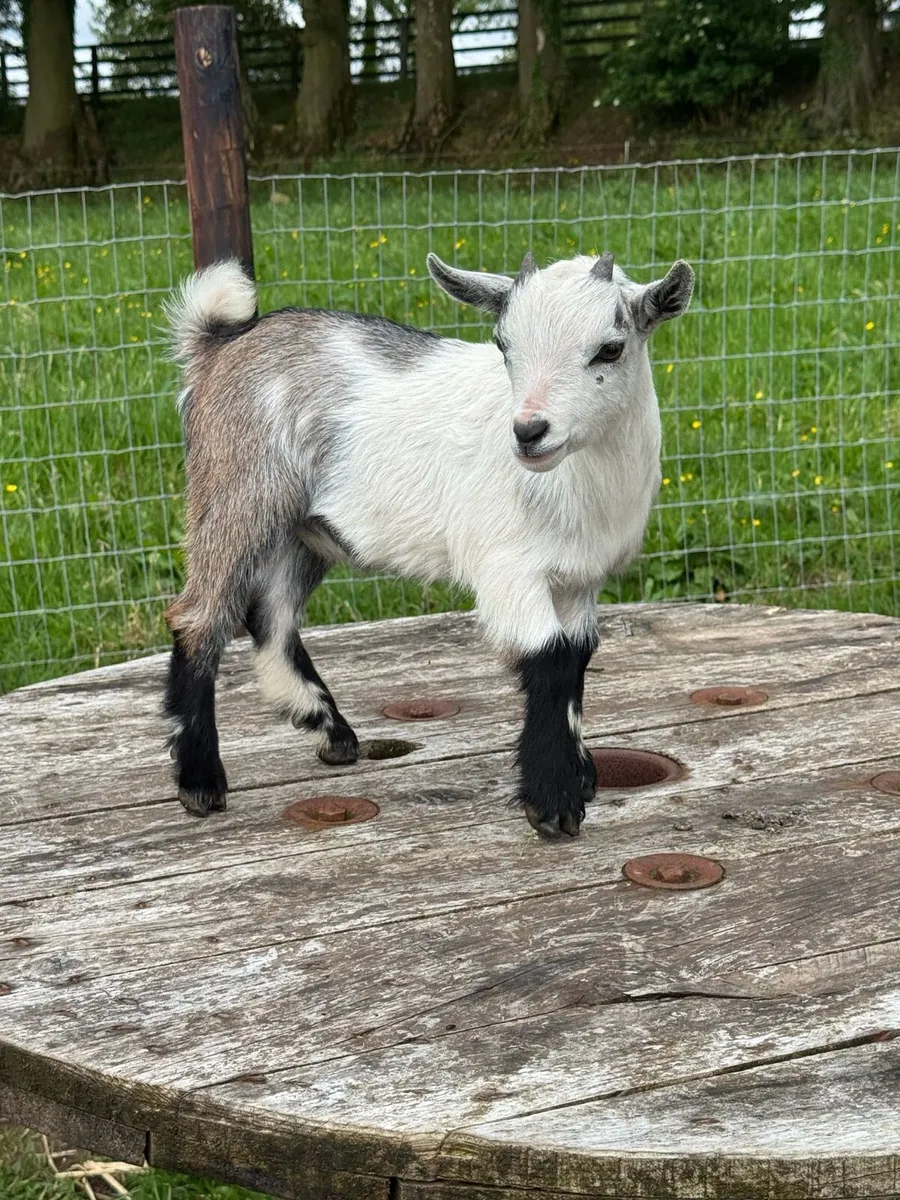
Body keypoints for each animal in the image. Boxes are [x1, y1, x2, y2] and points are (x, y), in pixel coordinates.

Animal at [163, 250, 694, 838]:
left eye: (610, 348)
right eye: (503, 344)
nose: (529, 432)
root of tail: (219, 345)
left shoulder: (579, 579)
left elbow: (576, 658)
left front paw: (579, 776)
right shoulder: (509, 568)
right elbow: (549, 658)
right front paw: (553, 803)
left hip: (301, 529)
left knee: (272, 617)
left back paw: (328, 729)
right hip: (237, 491)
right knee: (199, 616)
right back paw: (200, 781)